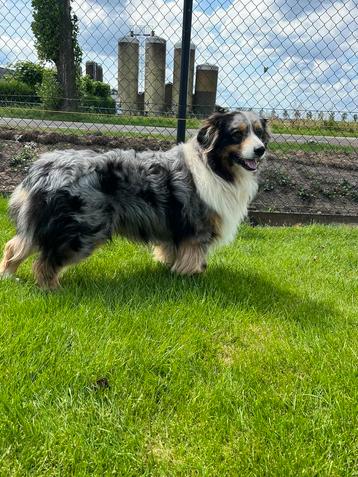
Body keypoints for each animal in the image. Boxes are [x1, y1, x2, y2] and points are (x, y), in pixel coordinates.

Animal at [0, 111, 268, 288]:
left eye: (259, 132)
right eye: (237, 134)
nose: (261, 149)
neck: (214, 166)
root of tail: (42, 168)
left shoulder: (173, 229)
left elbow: (171, 251)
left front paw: (168, 267)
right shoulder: (196, 230)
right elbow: (196, 257)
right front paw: (192, 276)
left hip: (42, 223)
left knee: (15, 245)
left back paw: (9, 276)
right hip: (81, 231)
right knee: (46, 261)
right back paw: (52, 288)